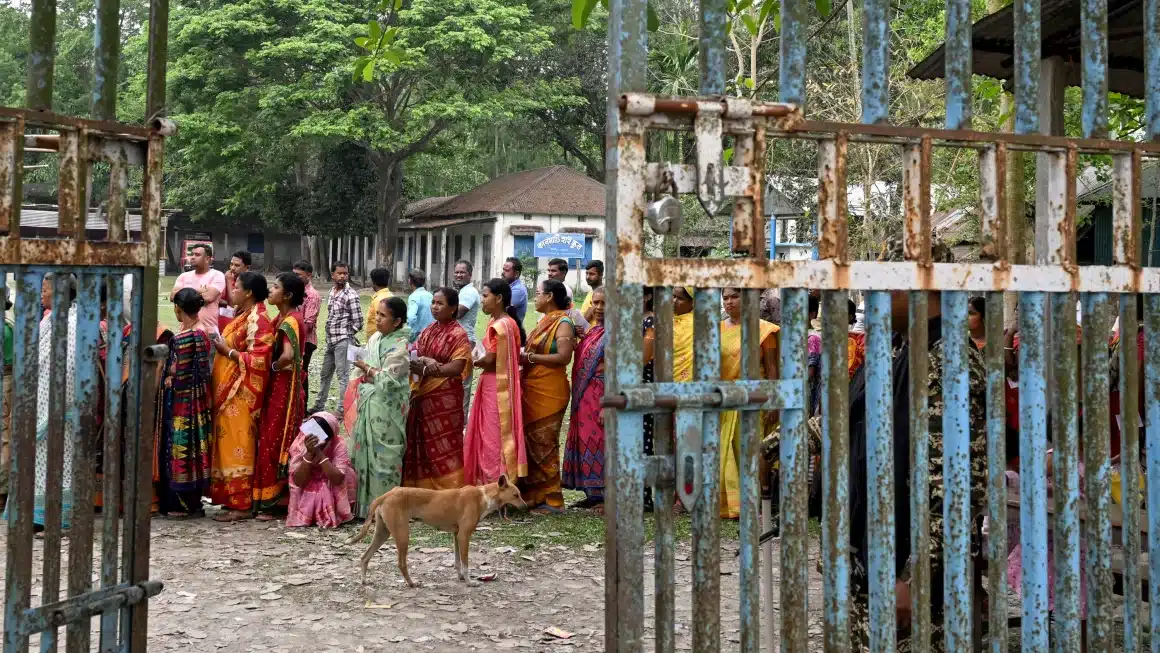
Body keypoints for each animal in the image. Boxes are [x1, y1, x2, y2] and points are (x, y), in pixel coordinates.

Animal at [341, 475, 528, 586]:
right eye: (516, 495)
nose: (526, 507)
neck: (483, 496)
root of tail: (387, 494)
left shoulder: (456, 535)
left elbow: (457, 561)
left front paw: (461, 577)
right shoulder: (464, 536)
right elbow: (466, 563)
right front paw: (469, 581)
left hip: (382, 532)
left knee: (364, 557)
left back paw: (364, 581)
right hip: (402, 535)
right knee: (401, 563)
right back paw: (412, 583)